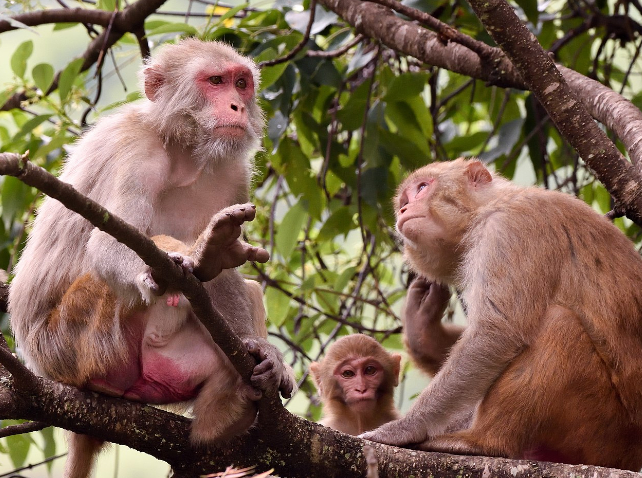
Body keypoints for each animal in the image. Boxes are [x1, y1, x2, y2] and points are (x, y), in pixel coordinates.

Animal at [8, 39, 295, 478]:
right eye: (216, 81)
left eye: (241, 83)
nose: (237, 106)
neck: (181, 149)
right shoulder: (137, 153)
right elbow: (105, 246)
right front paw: (200, 254)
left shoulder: (232, 173)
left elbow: (227, 279)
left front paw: (259, 349)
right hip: (76, 340)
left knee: (242, 290)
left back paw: (226, 413)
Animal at [361, 158, 642, 471]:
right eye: (404, 201)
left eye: (422, 188)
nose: (403, 210)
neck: (487, 207)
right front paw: (422, 331)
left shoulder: (510, 228)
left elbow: (495, 333)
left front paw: (405, 428)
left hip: (605, 429)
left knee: (559, 325)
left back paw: (484, 442)